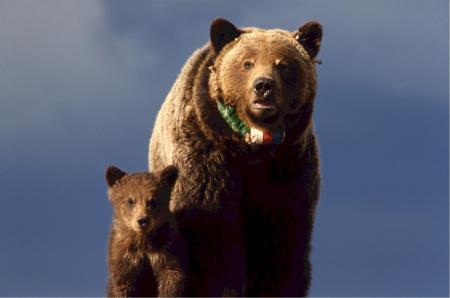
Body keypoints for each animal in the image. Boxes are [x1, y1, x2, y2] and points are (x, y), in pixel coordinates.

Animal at [149, 18, 322, 296]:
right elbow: (213, 240)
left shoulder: (288, 172)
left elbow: (282, 247)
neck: (250, 148)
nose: (263, 86)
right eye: (247, 63)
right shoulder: (206, 160)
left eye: (283, 64)